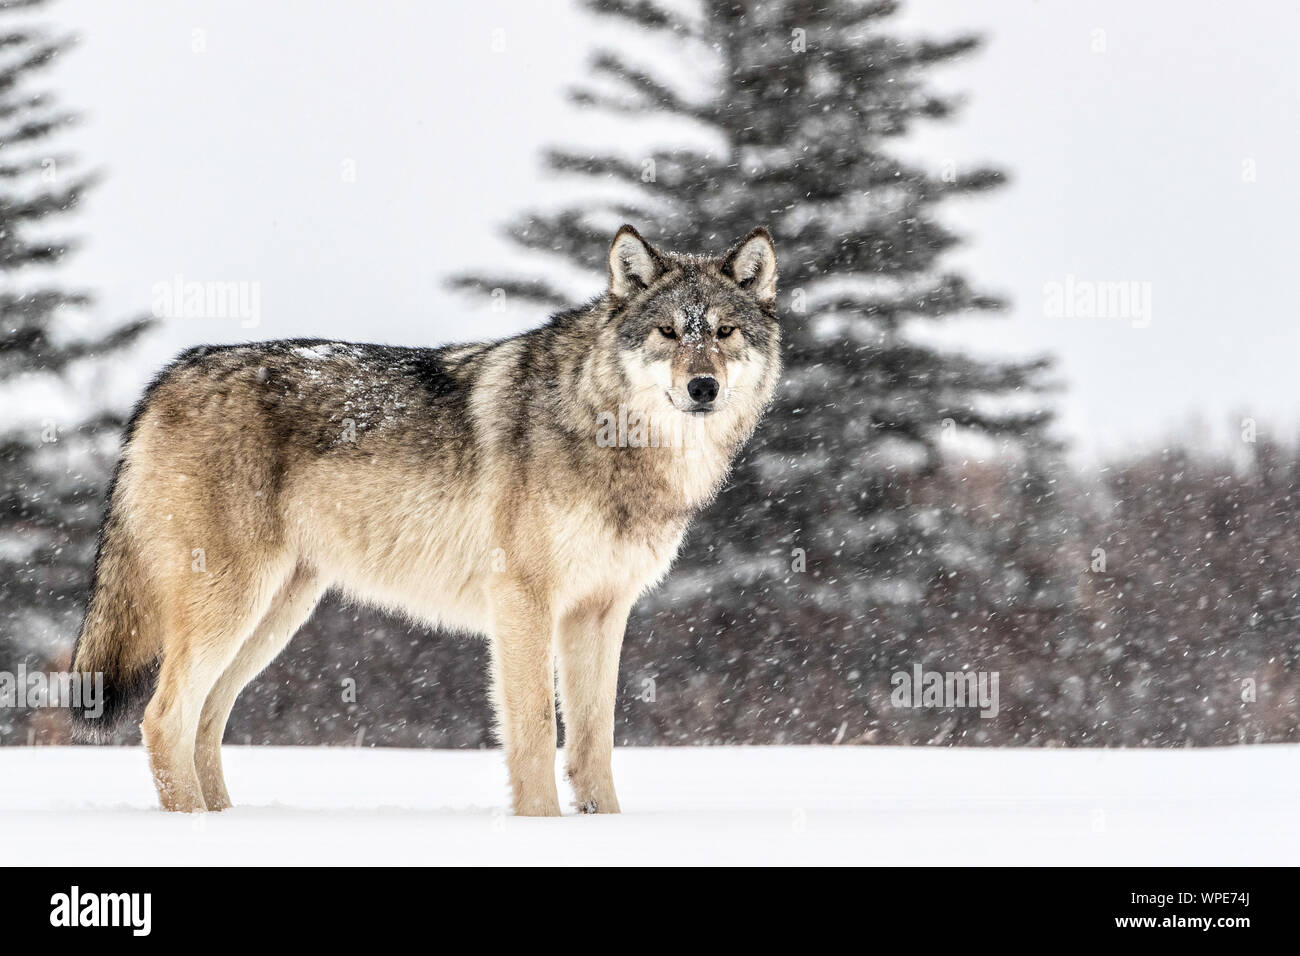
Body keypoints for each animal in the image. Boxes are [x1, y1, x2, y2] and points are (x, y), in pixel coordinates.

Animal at [73, 223, 780, 816]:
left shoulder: (601, 611)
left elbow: (593, 743)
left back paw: (222, 821)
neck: (610, 434)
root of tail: (166, 377)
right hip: (233, 605)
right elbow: (532, 733)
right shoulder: (523, 600)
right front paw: (542, 828)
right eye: (668, 332)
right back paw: (193, 826)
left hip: (277, 614)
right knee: (165, 717)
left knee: (205, 722)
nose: (703, 388)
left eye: (724, 333)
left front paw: (603, 828)